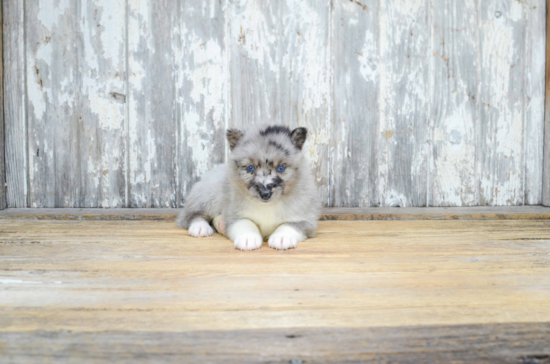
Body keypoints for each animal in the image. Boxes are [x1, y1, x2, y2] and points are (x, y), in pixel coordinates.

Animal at [177, 125, 322, 250]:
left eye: (281, 168)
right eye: (250, 168)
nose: (265, 193)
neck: (267, 206)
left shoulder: (305, 220)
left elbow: (288, 226)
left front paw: (282, 238)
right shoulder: (236, 215)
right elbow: (246, 224)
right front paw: (248, 238)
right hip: (208, 194)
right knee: (192, 215)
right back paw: (200, 228)